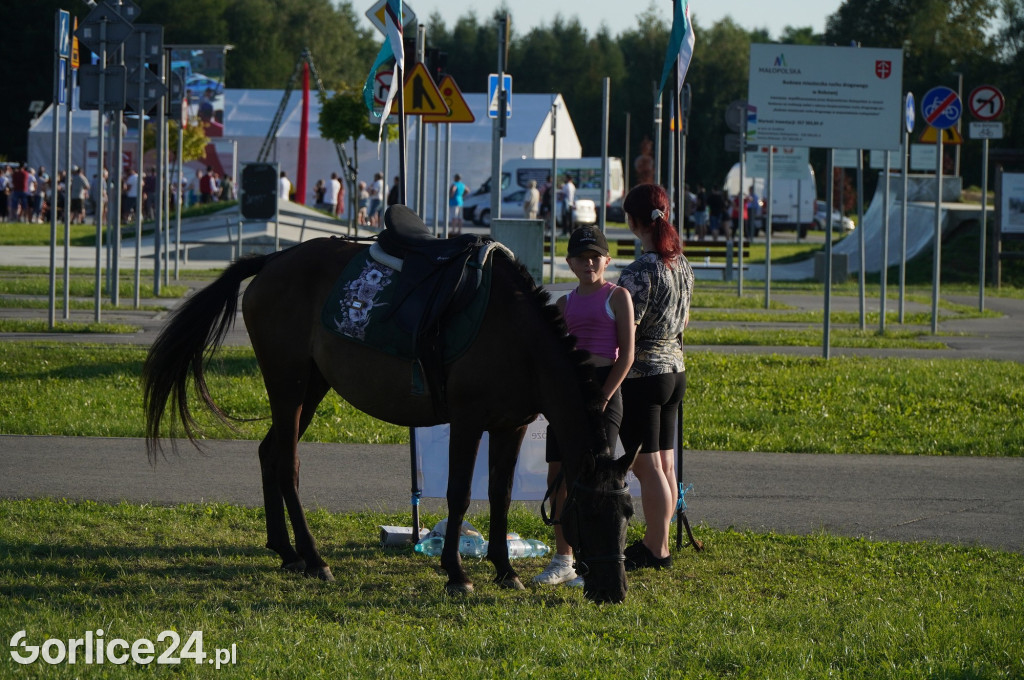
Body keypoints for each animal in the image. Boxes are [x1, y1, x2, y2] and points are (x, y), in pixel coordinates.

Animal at [142, 205, 638, 602]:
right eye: (589, 512)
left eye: (628, 513)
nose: (614, 591)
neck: (518, 335)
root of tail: (274, 260)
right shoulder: (467, 421)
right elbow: (459, 495)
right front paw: (456, 572)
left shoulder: (510, 425)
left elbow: (500, 494)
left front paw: (504, 569)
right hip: (287, 384)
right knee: (287, 464)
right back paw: (314, 558)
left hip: (311, 387)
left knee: (269, 454)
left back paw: (286, 551)